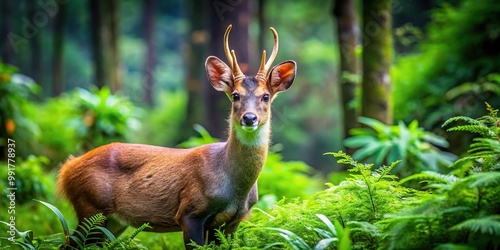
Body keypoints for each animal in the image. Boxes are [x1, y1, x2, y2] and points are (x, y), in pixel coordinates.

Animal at [55, 24, 296, 249]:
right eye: (235, 95)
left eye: (266, 96)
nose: (249, 118)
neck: (233, 187)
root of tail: (67, 169)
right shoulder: (190, 213)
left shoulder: (233, 221)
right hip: (90, 206)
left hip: (112, 221)